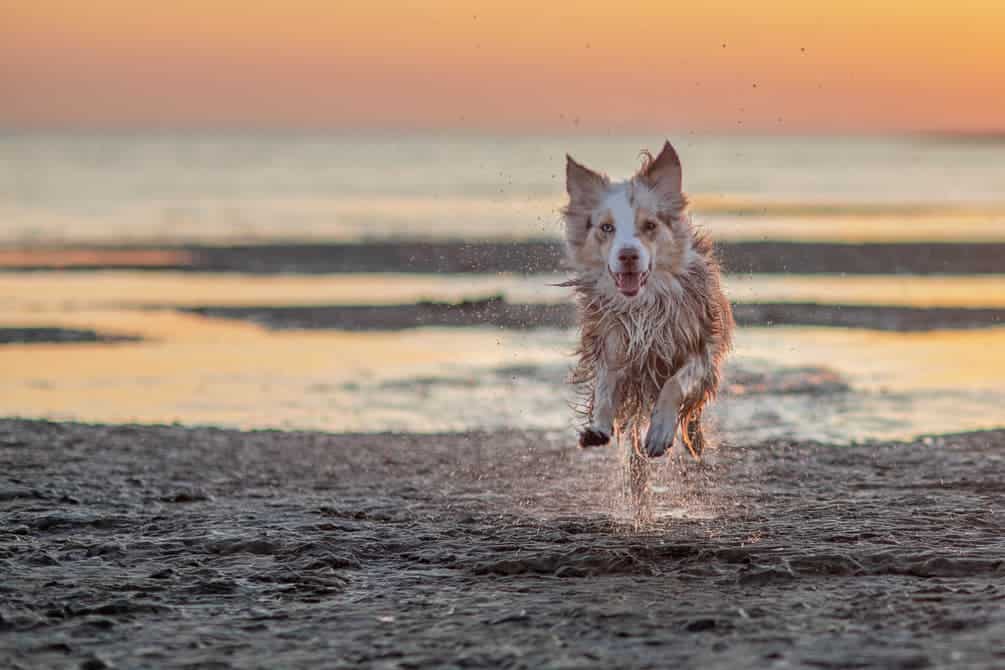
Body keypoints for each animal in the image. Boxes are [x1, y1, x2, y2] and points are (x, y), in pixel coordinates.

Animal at [562, 138, 735, 458]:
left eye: (650, 226)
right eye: (607, 227)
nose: (628, 255)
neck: (643, 305)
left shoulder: (699, 346)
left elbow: (674, 384)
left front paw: (659, 433)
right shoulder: (612, 342)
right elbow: (605, 388)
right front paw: (598, 427)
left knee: (693, 412)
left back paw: (694, 441)